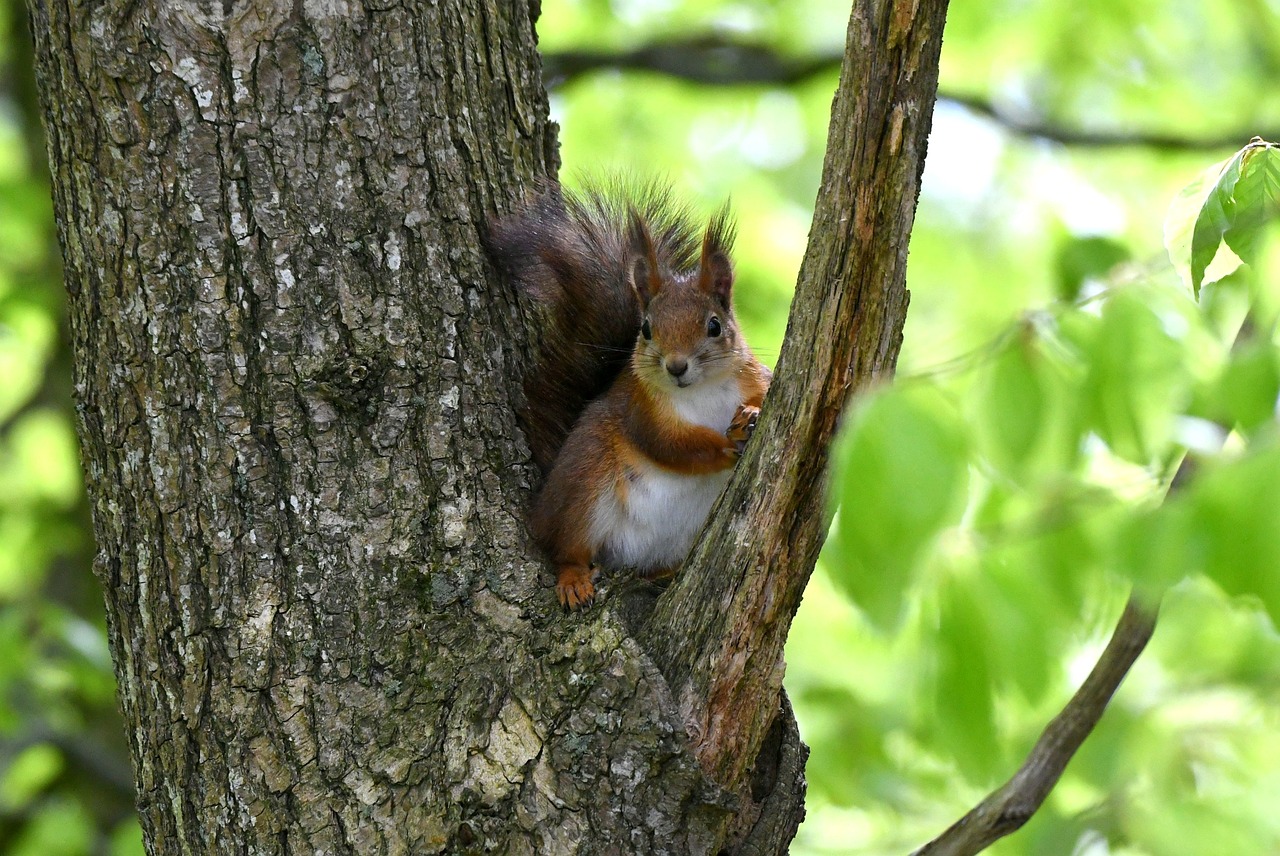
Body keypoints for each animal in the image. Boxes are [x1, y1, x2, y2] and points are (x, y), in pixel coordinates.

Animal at [488, 181, 772, 609]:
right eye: (646, 329)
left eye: (715, 325)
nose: (676, 366)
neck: (703, 390)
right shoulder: (641, 409)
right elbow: (669, 445)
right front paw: (724, 446)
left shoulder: (752, 375)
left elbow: (766, 393)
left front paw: (750, 415)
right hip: (584, 485)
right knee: (563, 547)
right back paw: (573, 578)